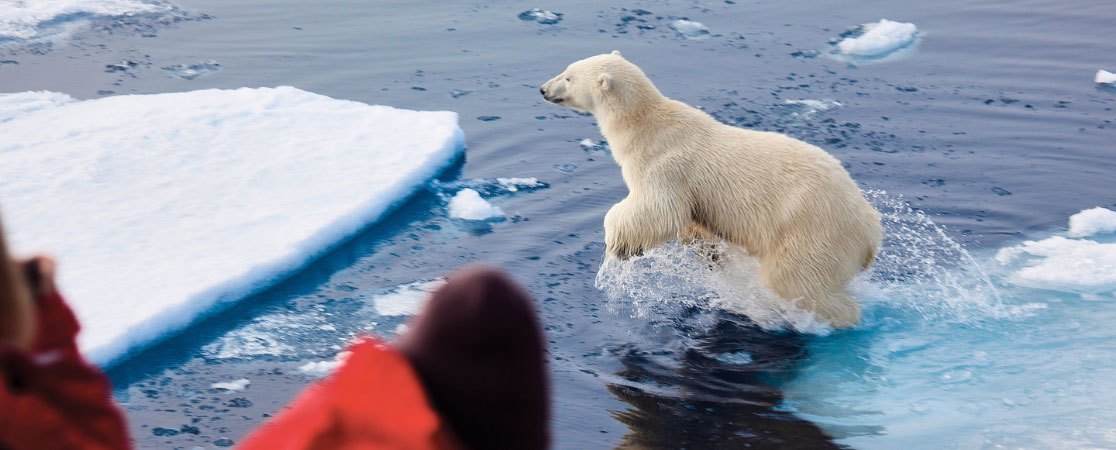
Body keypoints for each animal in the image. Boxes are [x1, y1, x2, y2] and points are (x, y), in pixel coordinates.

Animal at [540, 51, 882, 328]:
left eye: (568, 76)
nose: (543, 89)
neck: (645, 126)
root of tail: (871, 234)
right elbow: (693, 221)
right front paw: (706, 250)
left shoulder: (666, 164)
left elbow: (658, 209)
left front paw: (619, 244)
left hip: (814, 231)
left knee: (795, 280)